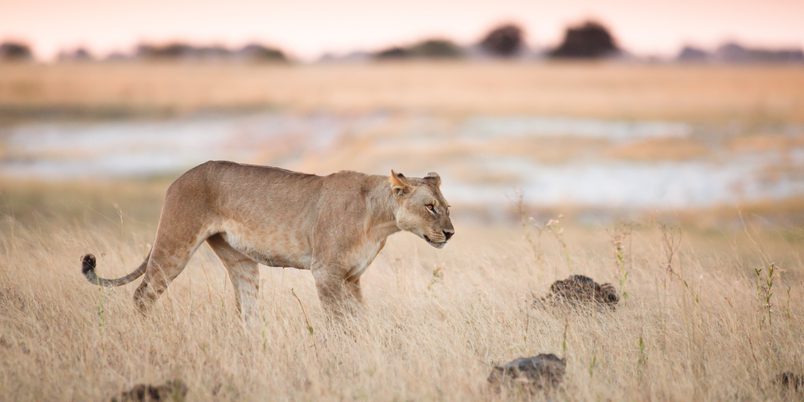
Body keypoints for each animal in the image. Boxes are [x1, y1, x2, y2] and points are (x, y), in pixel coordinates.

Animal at [81, 161, 455, 321]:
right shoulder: (326, 272)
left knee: (246, 309)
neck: (380, 221)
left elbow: (360, 318)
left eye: (447, 208)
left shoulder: (352, 277)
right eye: (430, 207)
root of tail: (179, 178)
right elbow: (337, 320)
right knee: (143, 294)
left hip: (241, 261)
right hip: (175, 244)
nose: (450, 233)